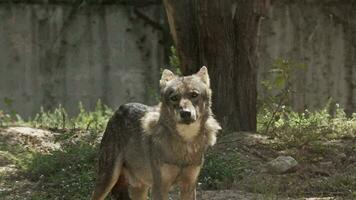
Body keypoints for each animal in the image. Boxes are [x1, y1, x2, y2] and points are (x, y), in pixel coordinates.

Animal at [92, 66, 220, 199]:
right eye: (174, 98)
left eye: (194, 95)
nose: (185, 113)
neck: (185, 142)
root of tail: (120, 109)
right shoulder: (160, 187)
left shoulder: (189, 186)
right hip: (108, 178)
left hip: (140, 189)